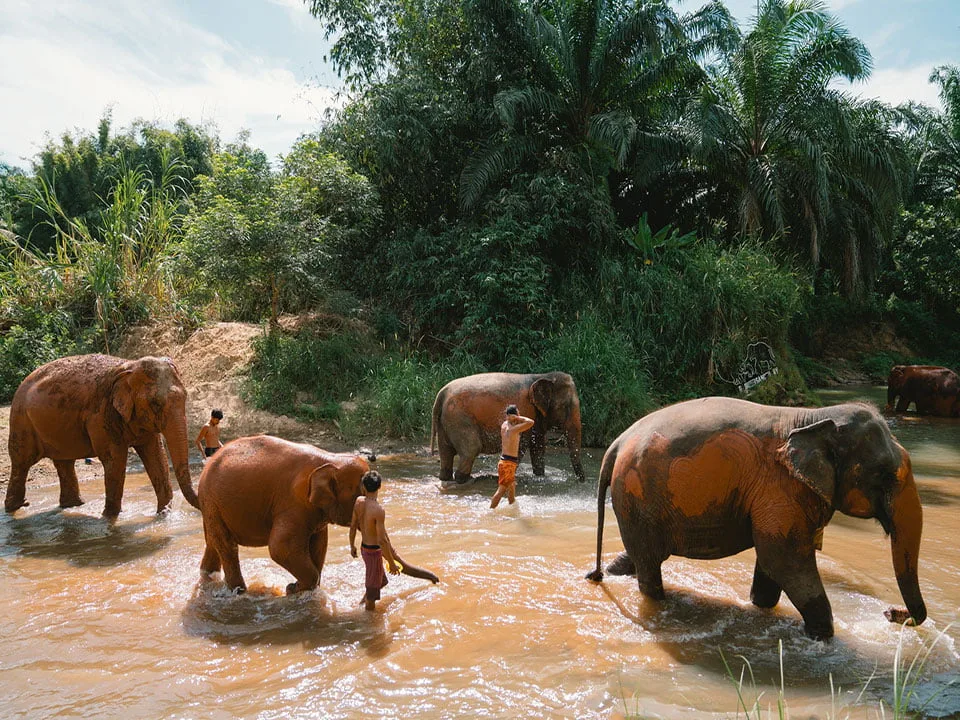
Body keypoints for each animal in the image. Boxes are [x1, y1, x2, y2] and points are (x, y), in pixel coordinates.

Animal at [6, 354, 199, 517]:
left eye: (185, 397)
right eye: (155, 403)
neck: (128, 366)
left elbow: (156, 456)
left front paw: (164, 514)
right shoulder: (101, 415)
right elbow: (115, 460)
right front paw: (110, 517)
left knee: (64, 462)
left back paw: (73, 505)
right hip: (21, 419)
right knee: (22, 462)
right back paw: (17, 507)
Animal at [198, 435, 439, 594]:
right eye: (361, 498)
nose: (437, 581)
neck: (330, 459)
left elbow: (319, 544)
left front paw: (304, 589)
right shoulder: (292, 503)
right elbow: (280, 547)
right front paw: (293, 589)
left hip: (212, 505)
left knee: (213, 541)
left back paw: (208, 577)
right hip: (211, 501)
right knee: (227, 545)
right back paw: (239, 592)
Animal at [430, 372, 585, 485]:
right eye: (566, 407)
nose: (581, 482)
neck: (542, 375)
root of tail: (441, 394)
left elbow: (538, 446)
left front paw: (540, 477)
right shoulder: (526, 410)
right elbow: (521, 445)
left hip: (446, 421)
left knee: (445, 452)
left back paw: (446, 478)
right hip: (459, 418)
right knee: (471, 449)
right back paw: (467, 480)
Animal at [586, 397, 927, 640]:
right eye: (884, 475)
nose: (890, 613)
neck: (813, 417)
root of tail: (615, 445)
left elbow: (773, 562)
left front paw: (762, 608)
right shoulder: (781, 489)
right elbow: (783, 558)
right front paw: (823, 637)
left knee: (637, 556)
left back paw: (607, 574)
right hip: (638, 494)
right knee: (649, 566)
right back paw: (660, 603)